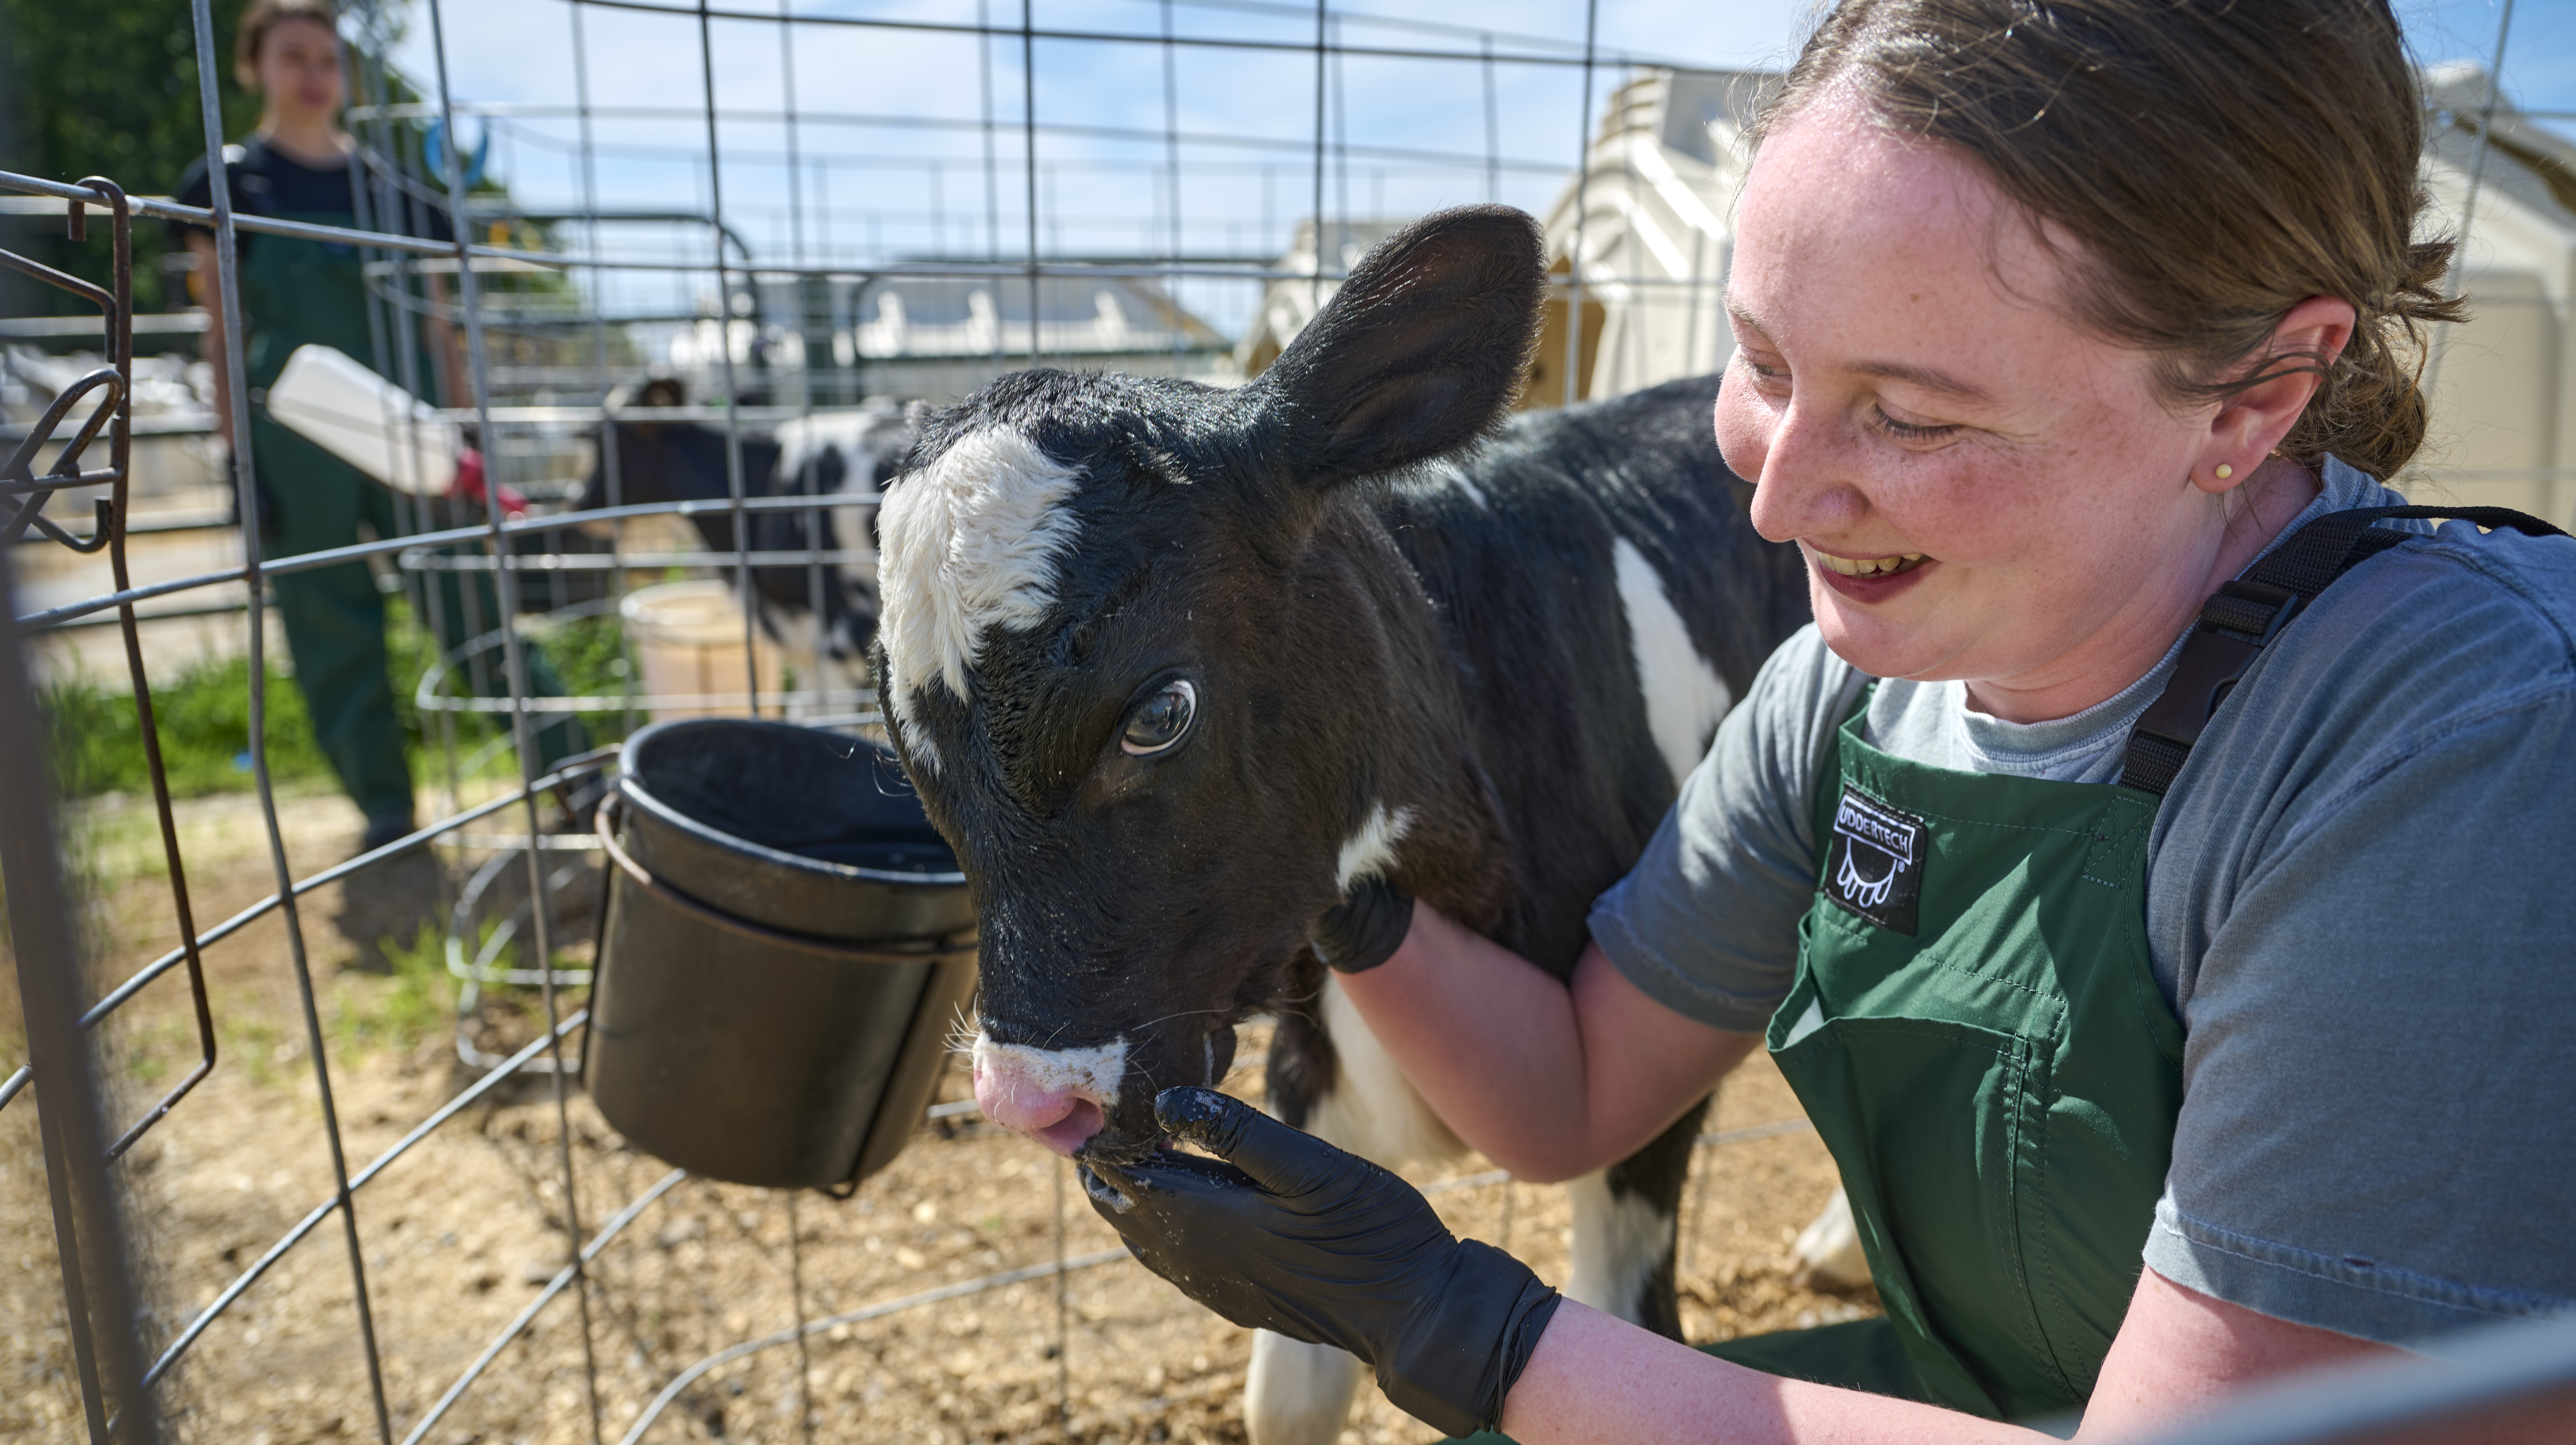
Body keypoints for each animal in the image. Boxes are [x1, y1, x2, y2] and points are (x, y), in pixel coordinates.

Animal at [881, 211, 1813, 1442]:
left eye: (1159, 713)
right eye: (902, 736)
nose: (1030, 1099)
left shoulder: (1647, 1128)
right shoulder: (1305, 1072)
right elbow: (1287, 1393)